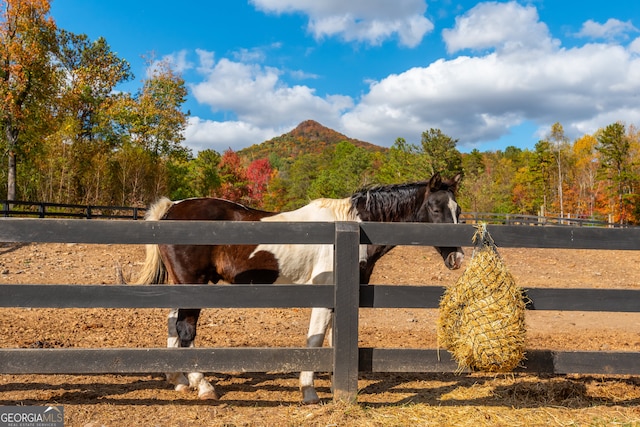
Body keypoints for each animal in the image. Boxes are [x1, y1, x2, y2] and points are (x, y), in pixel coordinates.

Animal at [136, 171, 464, 404]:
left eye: (458, 210)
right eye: (435, 208)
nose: (458, 258)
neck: (353, 227)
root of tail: (172, 208)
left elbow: (332, 338)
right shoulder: (324, 295)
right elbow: (315, 340)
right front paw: (309, 392)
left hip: (182, 285)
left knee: (172, 322)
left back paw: (178, 379)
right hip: (193, 284)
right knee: (186, 329)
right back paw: (202, 384)